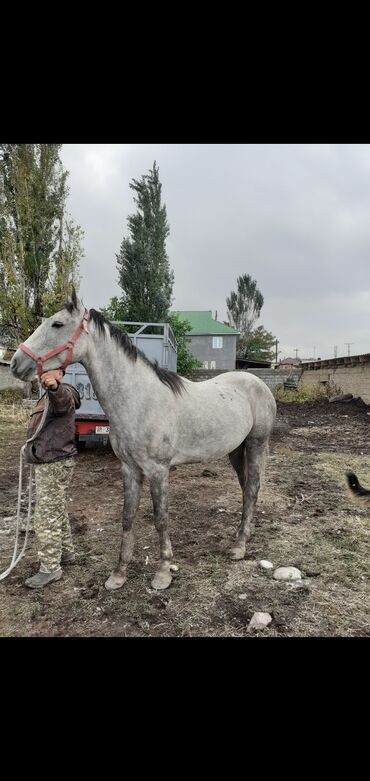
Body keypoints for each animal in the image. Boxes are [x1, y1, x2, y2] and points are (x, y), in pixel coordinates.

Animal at [10, 292, 276, 592]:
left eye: (57, 324)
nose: (16, 362)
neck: (138, 400)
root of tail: (256, 382)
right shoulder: (129, 468)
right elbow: (127, 517)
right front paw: (119, 574)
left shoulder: (158, 470)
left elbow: (161, 519)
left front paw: (163, 572)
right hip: (235, 450)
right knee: (246, 488)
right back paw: (244, 534)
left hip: (255, 444)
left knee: (252, 489)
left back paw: (239, 547)